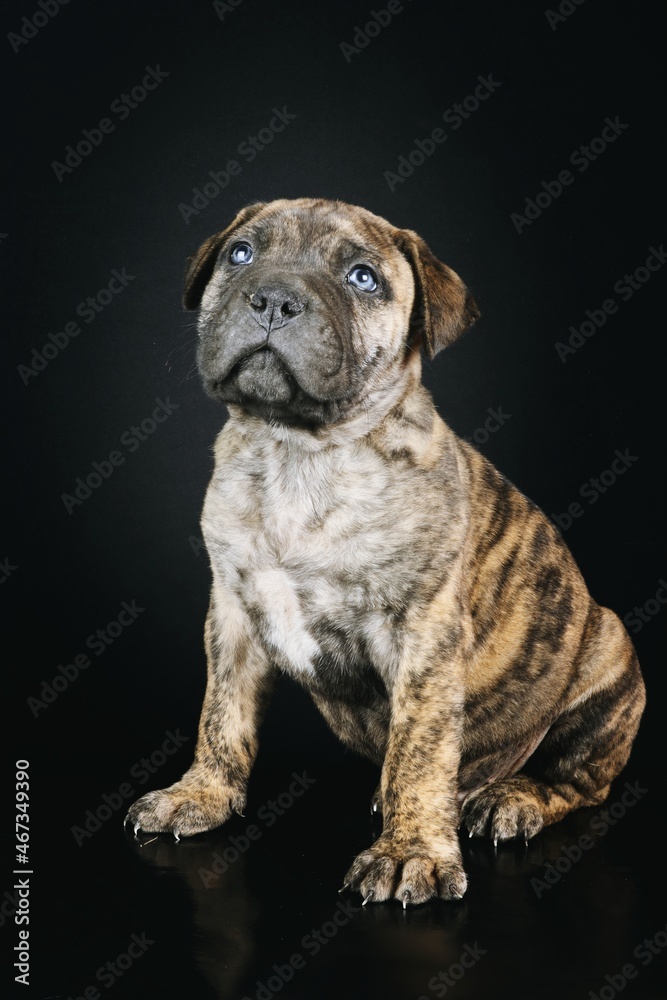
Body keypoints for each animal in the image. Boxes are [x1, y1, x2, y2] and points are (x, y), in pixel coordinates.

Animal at [126, 195, 648, 908]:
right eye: (241, 253)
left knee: (579, 783)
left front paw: (411, 853)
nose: (273, 299)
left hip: (607, 653)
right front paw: (201, 793)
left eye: (363, 278)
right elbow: (222, 714)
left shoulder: (424, 633)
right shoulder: (231, 613)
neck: (299, 454)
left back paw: (513, 800)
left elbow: (419, 750)